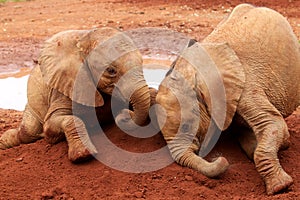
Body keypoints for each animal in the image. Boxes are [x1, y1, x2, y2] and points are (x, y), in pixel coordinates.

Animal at [0, 27, 150, 162]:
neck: (84, 40)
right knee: (28, 132)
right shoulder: (64, 87)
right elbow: (52, 125)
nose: (124, 115)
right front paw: (83, 155)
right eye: (111, 70)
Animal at [156, 3, 298, 195]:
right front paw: (281, 146)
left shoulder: (247, 89)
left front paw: (280, 188)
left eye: (187, 126)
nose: (222, 159)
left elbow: (274, 124)